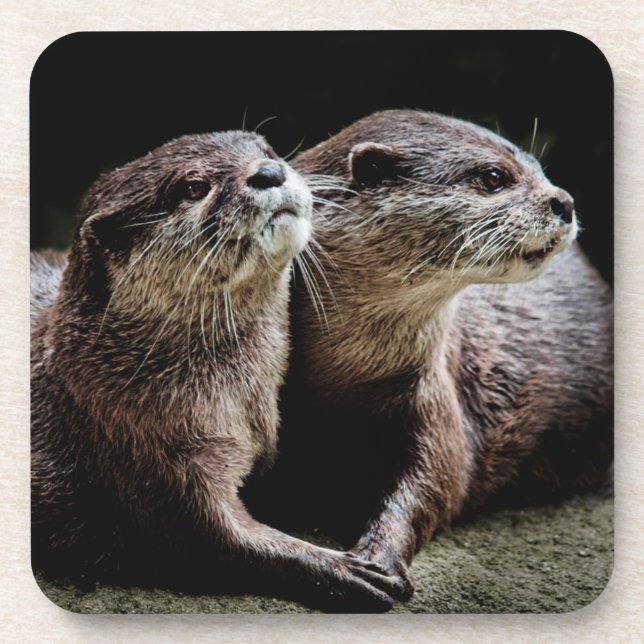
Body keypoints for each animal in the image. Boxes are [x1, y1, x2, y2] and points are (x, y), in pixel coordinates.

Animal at [31, 131, 405, 611]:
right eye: (193, 187)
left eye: (266, 151)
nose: (270, 172)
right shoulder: (146, 452)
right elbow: (213, 541)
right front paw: (345, 568)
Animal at [250, 110, 613, 601]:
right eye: (494, 177)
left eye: (540, 170)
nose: (565, 202)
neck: (348, 376)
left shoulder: (435, 395)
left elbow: (436, 483)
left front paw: (379, 558)